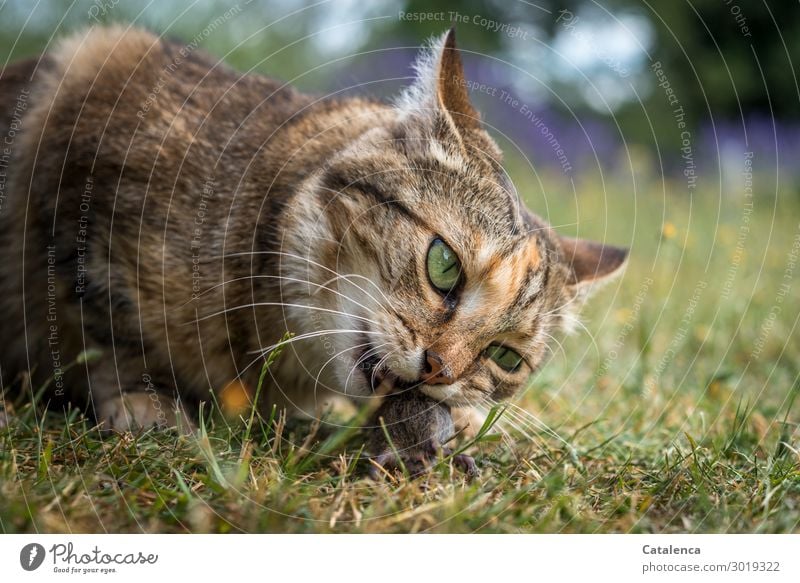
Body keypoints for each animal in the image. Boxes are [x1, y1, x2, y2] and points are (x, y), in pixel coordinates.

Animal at [0, 25, 624, 452]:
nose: (439, 371)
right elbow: (109, 325)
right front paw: (146, 400)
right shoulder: (89, 103)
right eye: (444, 265)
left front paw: (465, 416)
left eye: (504, 356)